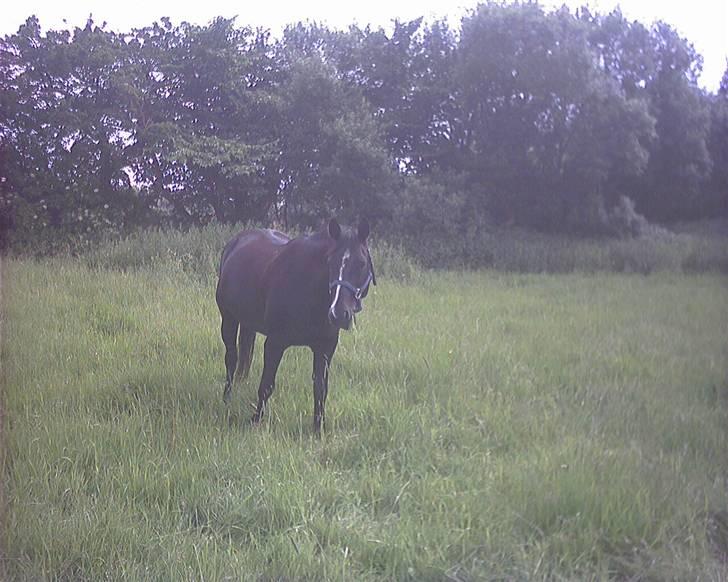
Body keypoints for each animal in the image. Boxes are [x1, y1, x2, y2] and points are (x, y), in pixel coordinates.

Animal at [215, 219, 376, 434]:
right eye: (330, 262)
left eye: (361, 263)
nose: (338, 314)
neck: (308, 290)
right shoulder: (275, 343)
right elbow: (266, 385)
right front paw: (255, 421)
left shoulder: (325, 348)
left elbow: (320, 389)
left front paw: (318, 429)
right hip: (229, 318)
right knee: (231, 359)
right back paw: (227, 398)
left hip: (248, 323)